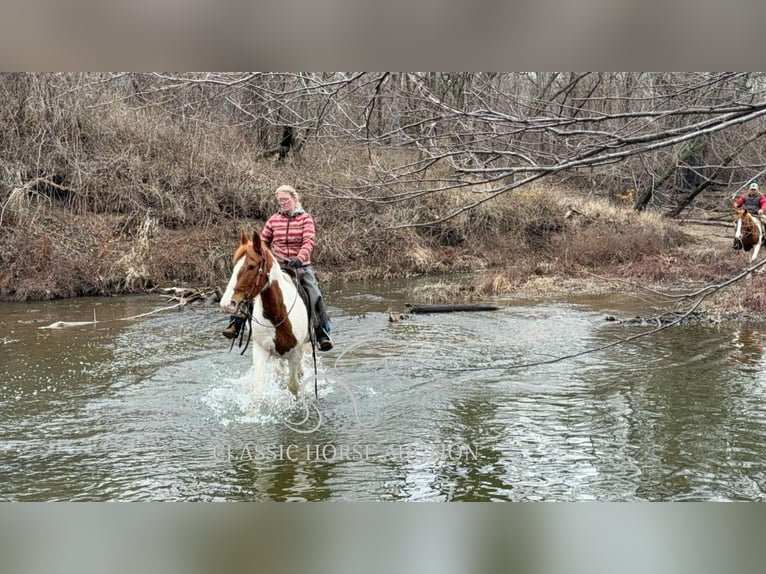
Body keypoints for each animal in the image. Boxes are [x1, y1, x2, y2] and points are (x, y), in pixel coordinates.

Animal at [219, 230, 308, 400]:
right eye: (234, 266)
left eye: (251, 266)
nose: (227, 303)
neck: (277, 316)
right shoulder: (261, 350)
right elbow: (258, 390)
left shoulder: (294, 353)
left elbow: (294, 387)